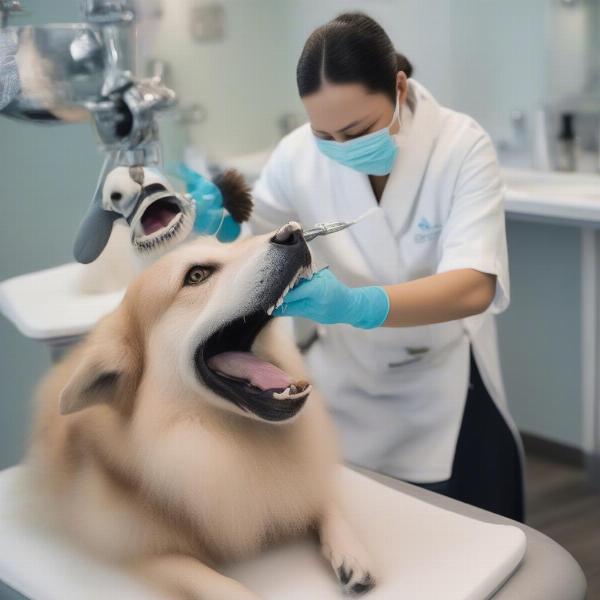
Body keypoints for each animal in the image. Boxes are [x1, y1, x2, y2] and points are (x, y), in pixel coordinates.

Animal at [28, 223, 378, 596]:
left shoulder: (300, 480)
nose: (293, 234)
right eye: (196, 275)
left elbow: (322, 500)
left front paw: (351, 553)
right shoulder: (140, 552)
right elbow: (226, 587)